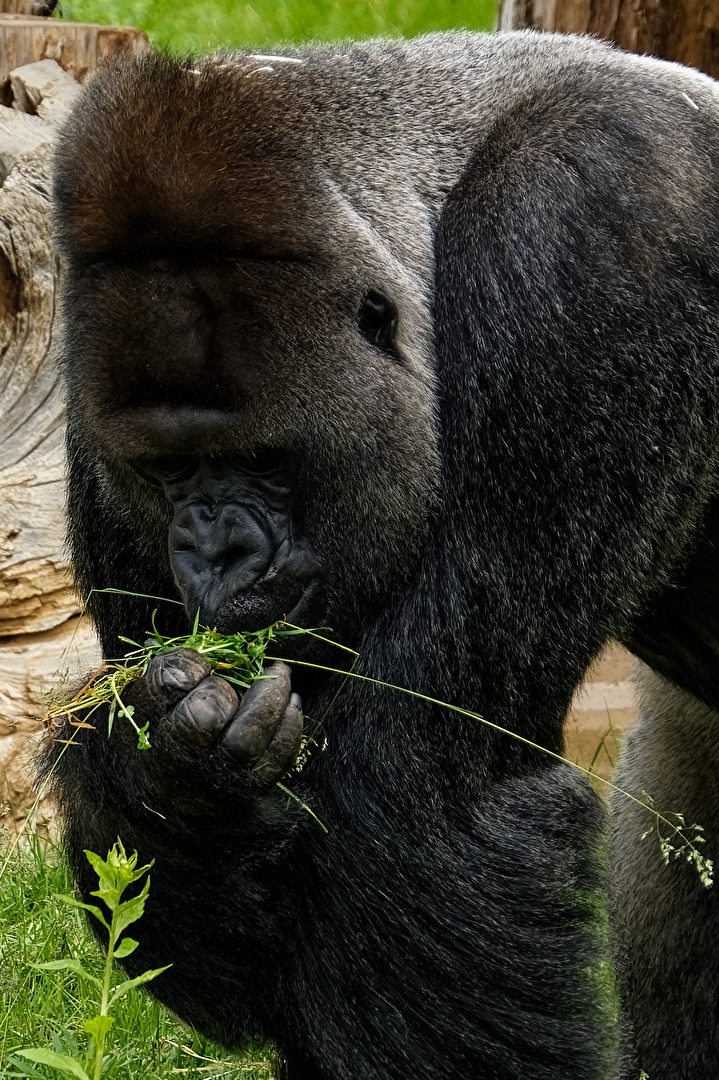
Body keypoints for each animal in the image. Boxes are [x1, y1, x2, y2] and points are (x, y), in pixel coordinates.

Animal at [44, 29, 719, 1079]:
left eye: (263, 461)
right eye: (168, 469)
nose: (216, 556)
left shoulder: (592, 225)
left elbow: (403, 801)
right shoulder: (91, 399)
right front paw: (174, 772)